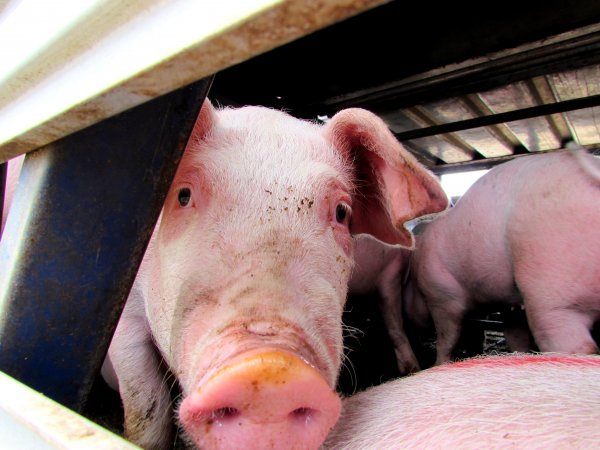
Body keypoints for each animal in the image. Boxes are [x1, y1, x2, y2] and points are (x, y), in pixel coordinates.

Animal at [410, 149, 600, 368]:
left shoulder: (442, 297)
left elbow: (447, 337)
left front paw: (439, 363)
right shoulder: (510, 304)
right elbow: (514, 334)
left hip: (554, 286)